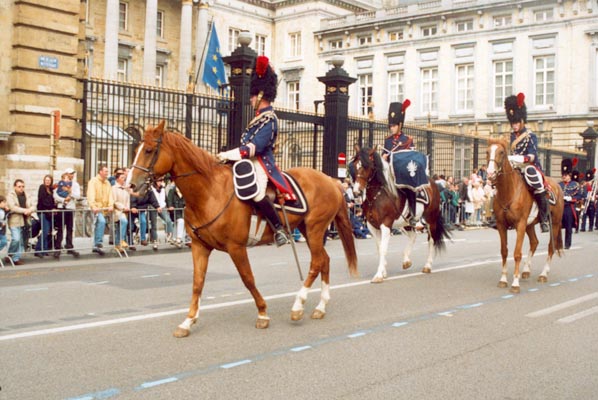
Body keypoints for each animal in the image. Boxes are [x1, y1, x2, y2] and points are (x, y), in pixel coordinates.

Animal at [128, 122, 358, 338]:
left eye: (148, 150)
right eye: (136, 147)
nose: (131, 185)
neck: (209, 191)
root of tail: (332, 181)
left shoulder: (236, 247)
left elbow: (248, 279)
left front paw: (263, 314)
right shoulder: (199, 246)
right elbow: (197, 283)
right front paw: (187, 321)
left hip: (315, 229)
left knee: (317, 262)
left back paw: (298, 306)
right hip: (309, 231)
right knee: (324, 260)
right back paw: (320, 306)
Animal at [352, 145, 450, 282]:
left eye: (367, 166)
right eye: (355, 165)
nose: (357, 192)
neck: (377, 196)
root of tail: (432, 183)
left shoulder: (386, 224)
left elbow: (383, 249)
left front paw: (379, 275)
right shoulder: (372, 226)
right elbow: (379, 248)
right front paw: (383, 271)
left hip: (431, 220)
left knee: (431, 240)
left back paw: (427, 266)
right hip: (405, 223)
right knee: (413, 236)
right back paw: (406, 261)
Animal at [488, 139, 568, 292]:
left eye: (501, 152)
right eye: (487, 151)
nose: (490, 173)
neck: (509, 191)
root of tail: (558, 186)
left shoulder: (520, 224)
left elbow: (517, 253)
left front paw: (515, 283)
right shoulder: (501, 225)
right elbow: (504, 251)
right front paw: (503, 279)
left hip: (554, 224)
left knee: (551, 247)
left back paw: (543, 274)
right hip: (529, 225)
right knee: (535, 242)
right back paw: (525, 270)